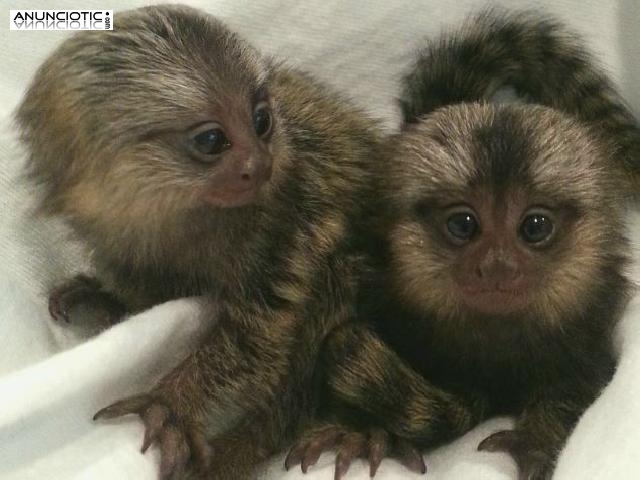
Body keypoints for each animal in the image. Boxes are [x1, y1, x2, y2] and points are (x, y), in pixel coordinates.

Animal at [16, 5, 384, 479]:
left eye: (261, 121)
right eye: (212, 141)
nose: (259, 164)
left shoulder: (289, 225)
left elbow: (255, 339)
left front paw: (169, 404)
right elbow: (148, 295)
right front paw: (108, 299)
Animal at [285, 10, 639, 480]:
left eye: (534, 227)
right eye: (463, 224)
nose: (497, 265)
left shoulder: (587, 332)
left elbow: (574, 390)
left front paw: (538, 441)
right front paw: (364, 429)